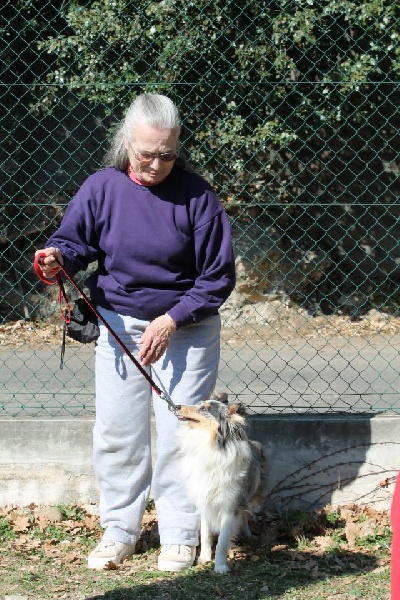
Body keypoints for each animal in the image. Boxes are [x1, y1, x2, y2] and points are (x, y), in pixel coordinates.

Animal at [177, 396, 268, 576]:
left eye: (204, 409)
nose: (176, 406)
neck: (211, 445)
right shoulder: (204, 500)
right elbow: (205, 535)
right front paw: (204, 558)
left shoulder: (231, 506)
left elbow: (222, 540)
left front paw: (220, 566)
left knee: (245, 514)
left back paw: (248, 535)